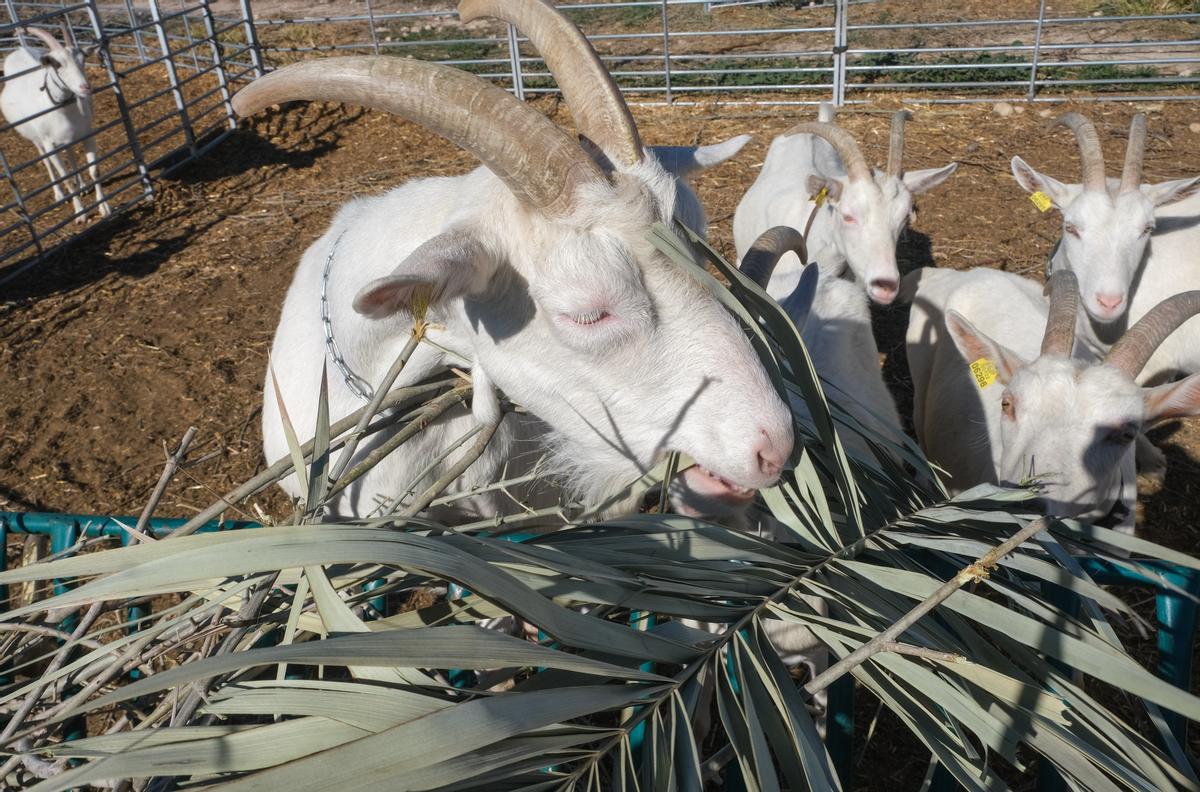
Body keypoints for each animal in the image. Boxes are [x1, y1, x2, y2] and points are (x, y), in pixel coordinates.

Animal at [1, 25, 111, 223]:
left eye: (83, 59)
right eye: (58, 64)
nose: (85, 88)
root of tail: (20, 49)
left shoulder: (87, 134)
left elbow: (95, 171)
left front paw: (104, 207)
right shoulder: (49, 144)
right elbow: (65, 178)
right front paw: (80, 213)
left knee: (70, 154)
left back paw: (83, 186)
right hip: (36, 139)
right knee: (46, 161)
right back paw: (59, 195)